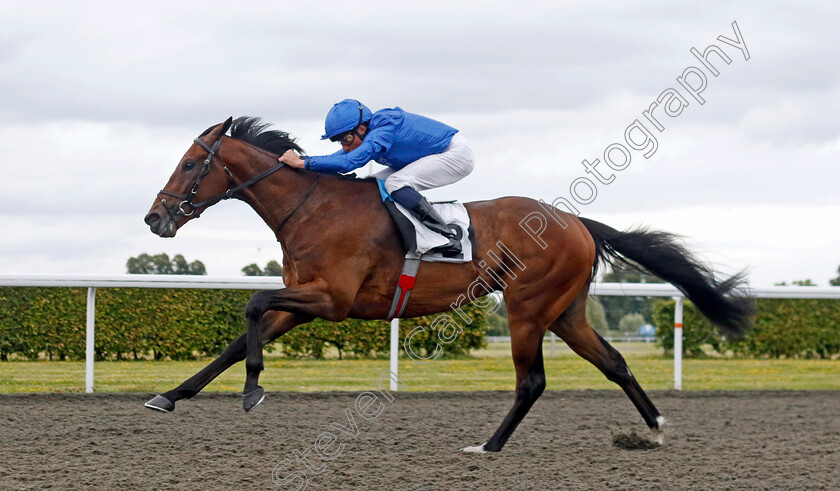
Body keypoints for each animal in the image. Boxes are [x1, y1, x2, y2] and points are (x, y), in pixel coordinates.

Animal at [141, 116, 752, 454]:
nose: (154, 218)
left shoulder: (331, 300)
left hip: (528, 309)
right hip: (566, 313)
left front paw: (252, 390)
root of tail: (577, 223)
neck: (312, 207)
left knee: (532, 382)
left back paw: (487, 446)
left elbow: (252, 303)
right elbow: (235, 341)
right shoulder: (305, 302)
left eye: (190, 163)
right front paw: (169, 396)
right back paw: (655, 429)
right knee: (615, 364)